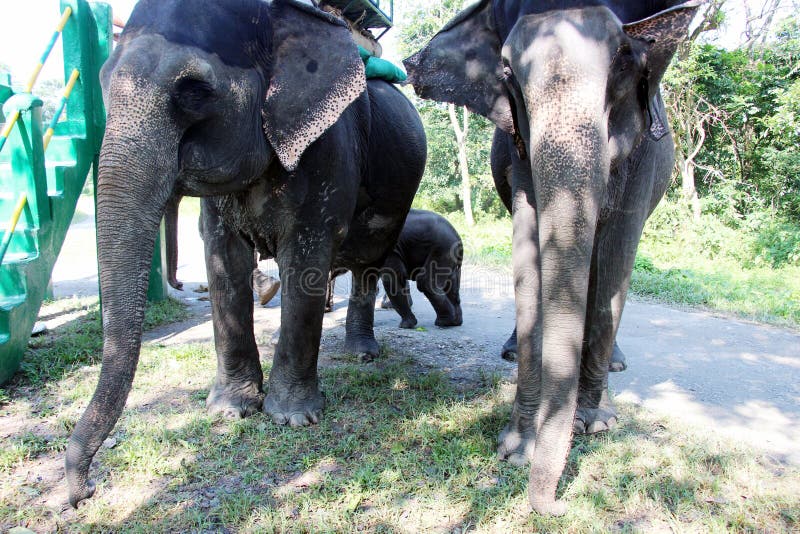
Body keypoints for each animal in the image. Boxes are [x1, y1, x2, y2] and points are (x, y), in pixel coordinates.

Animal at [66, 0, 428, 510]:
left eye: (193, 90)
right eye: (101, 80)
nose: (85, 492)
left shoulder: (328, 149)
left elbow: (306, 258)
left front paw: (292, 419)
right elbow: (223, 261)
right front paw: (229, 411)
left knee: (368, 265)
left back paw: (362, 354)